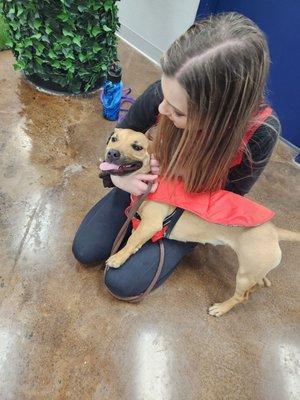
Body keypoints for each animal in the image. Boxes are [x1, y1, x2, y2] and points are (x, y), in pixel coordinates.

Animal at [101, 128, 300, 316]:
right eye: (114, 139)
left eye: (137, 147)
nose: (112, 153)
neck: (150, 178)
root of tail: (275, 230)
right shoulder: (142, 223)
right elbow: (135, 237)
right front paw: (132, 249)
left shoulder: (151, 223)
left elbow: (132, 240)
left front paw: (119, 257)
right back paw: (262, 282)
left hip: (245, 274)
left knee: (241, 296)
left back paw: (221, 308)